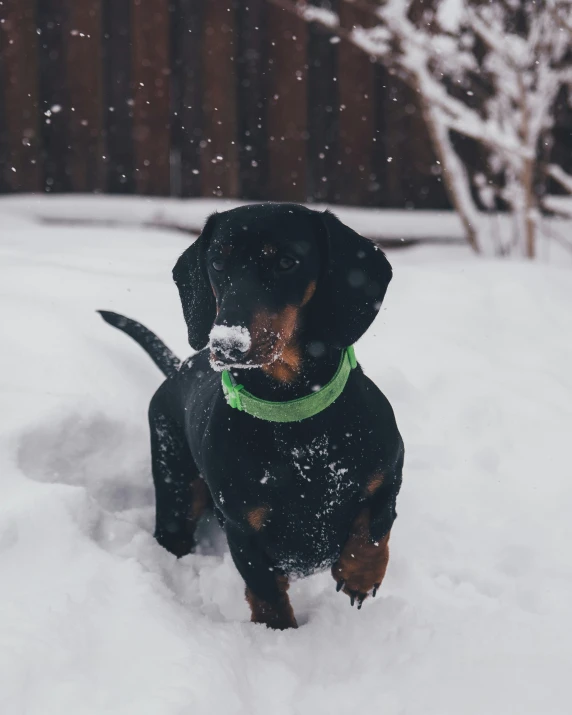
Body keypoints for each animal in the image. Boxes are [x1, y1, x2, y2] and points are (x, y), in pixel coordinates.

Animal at [99, 204, 402, 628]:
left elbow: (376, 524)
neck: (296, 422)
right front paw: (280, 634)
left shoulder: (389, 474)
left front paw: (358, 574)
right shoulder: (243, 531)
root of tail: (179, 368)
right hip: (175, 490)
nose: (226, 344)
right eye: (217, 262)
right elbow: (266, 593)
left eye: (287, 261)